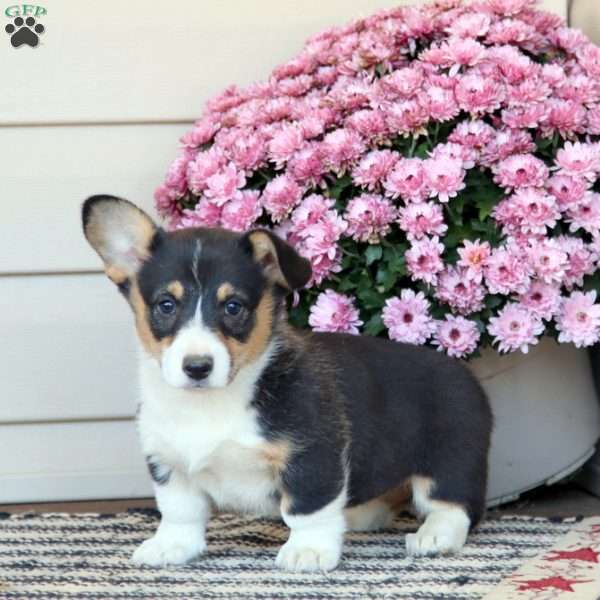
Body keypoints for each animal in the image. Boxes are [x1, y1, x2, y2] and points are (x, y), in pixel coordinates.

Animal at [81, 196, 492, 572]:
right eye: (166, 305)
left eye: (233, 307)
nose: (197, 367)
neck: (213, 402)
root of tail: (463, 372)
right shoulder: (168, 462)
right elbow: (180, 512)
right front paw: (170, 547)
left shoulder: (311, 455)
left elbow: (306, 509)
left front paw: (308, 551)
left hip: (451, 457)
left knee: (453, 504)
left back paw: (434, 536)